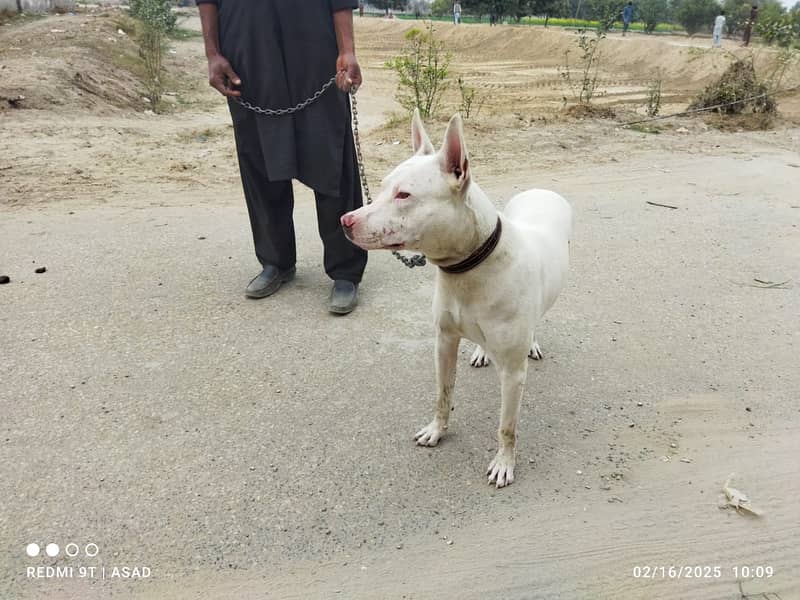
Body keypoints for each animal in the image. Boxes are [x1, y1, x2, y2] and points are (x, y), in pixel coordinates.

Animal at [340, 112, 572, 488]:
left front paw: (504, 463)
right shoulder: (444, 342)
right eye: (384, 186)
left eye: (404, 194)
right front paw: (437, 430)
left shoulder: (513, 374)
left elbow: (507, 426)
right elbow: (443, 394)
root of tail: (541, 190)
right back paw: (480, 351)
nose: (345, 221)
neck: (469, 267)